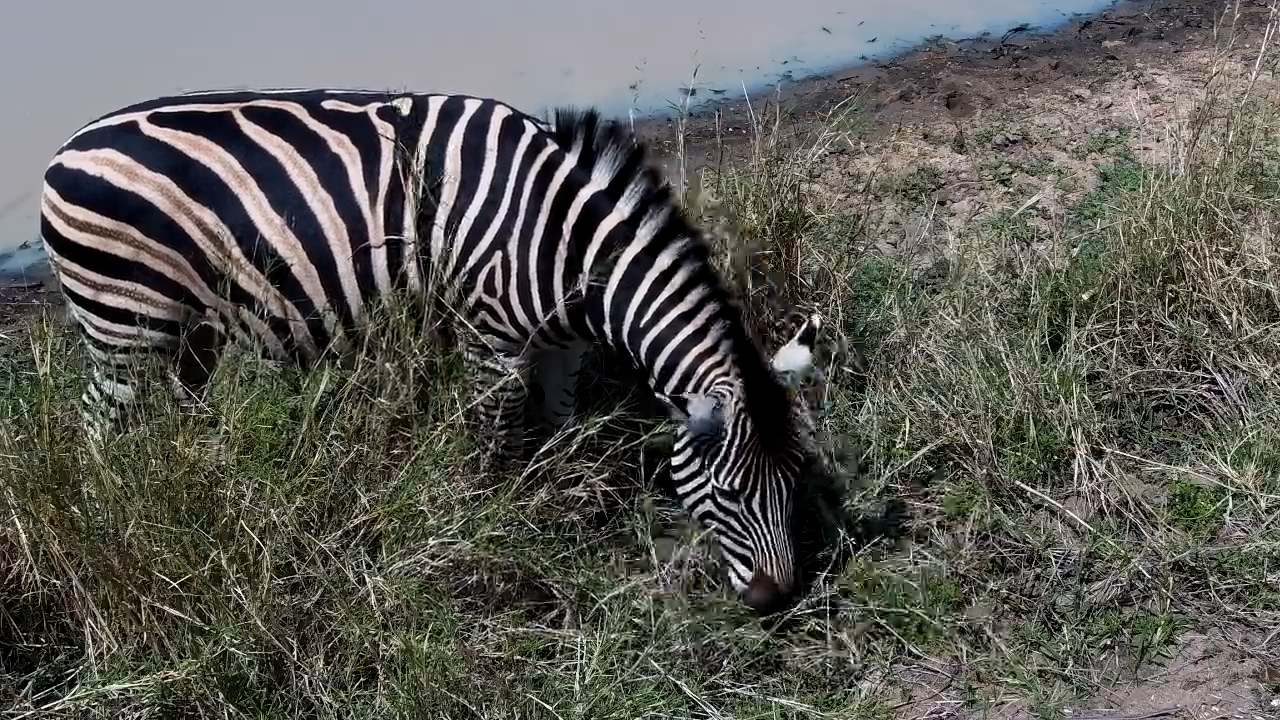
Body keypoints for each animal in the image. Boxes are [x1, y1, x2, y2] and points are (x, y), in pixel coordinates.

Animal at [38, 88, 827, 615]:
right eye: (730, 492)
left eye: (795, 480)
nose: (777, 600)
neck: (569, 248)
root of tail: (64, 149)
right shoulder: (491, 335)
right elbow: (497, 437)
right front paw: (496, 524)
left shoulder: (563, 342)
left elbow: (559, 427)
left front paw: (566, 508)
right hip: (125, 327)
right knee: (104, 436)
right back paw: (118, 526)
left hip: (184, 336)